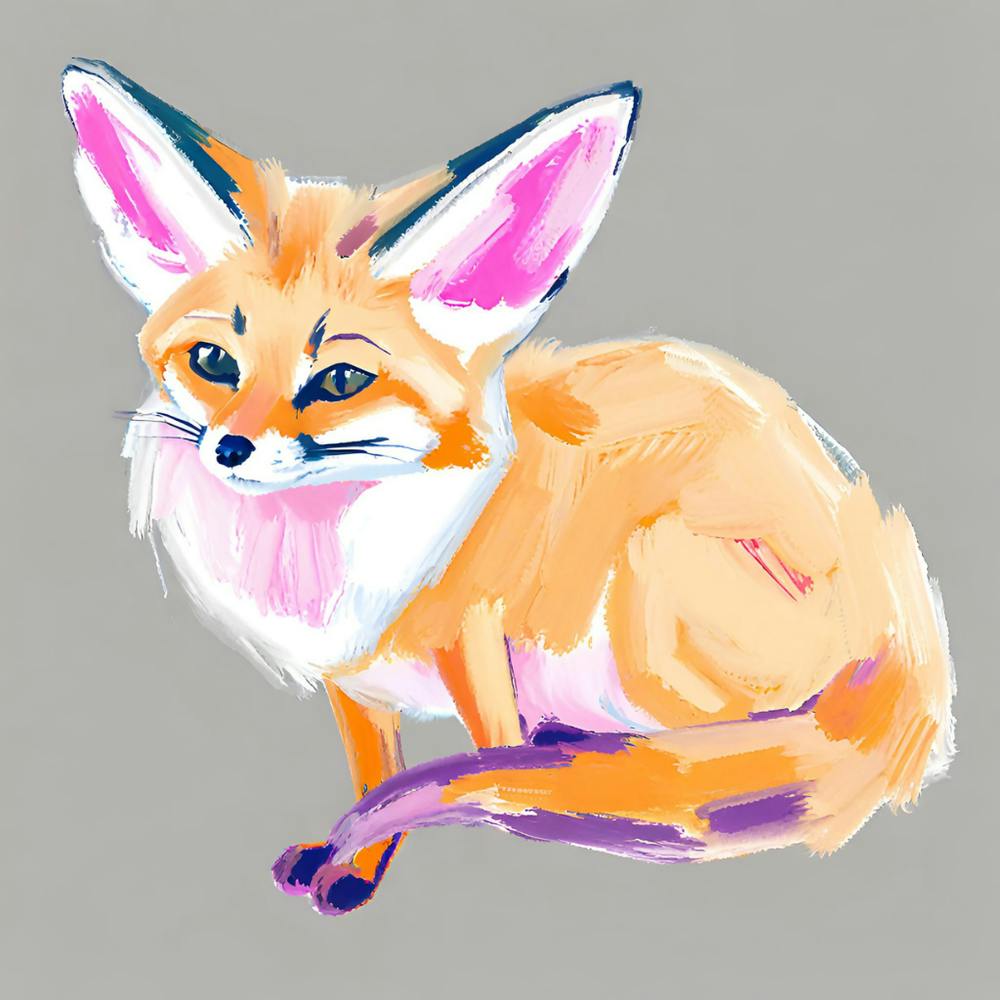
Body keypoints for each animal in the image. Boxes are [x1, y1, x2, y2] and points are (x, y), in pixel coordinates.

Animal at [62, 58, 955, 917]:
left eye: (341, 379)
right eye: (213, 363)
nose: (231, 449)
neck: (321, 558)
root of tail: (901, 626)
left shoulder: (480, 648)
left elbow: (478, 762)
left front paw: (395, 843)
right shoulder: (352, 682)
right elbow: (375, 773)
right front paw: (353, 865)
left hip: (645, 582)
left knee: (722, 761)